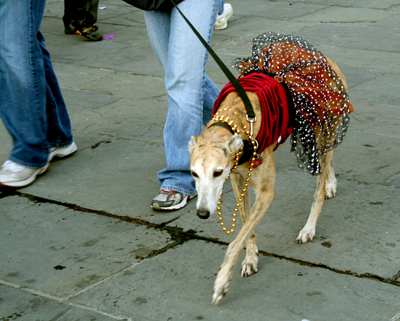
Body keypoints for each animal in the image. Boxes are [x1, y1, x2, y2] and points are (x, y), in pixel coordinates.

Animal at [188, 33, 354, 304]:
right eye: (193, 173)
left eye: (217, 172)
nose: (202, 213)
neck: (234, 120)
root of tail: (326, 59)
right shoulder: (238, 180)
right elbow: (246, 228)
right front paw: (251, 259)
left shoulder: (265, 193)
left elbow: (236, 240)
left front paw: (222, 282)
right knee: (328, 159)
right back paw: (330, 183)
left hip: (322, 128)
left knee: (318, 185)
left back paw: (309, 226)